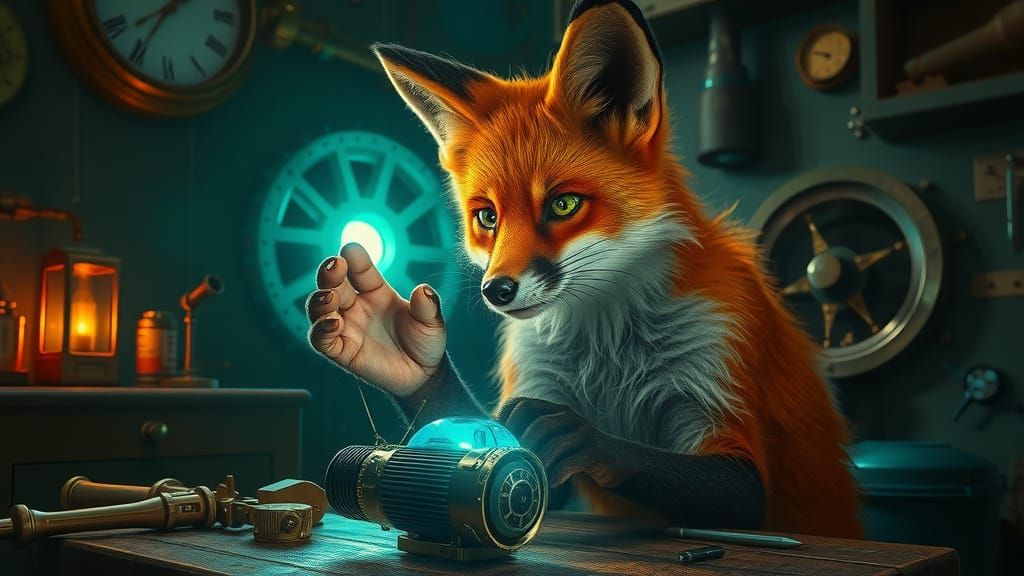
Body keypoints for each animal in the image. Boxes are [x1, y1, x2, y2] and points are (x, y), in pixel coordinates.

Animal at [307, 0, 862, 538]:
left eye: (563, 205)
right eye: (487, 217)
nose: (496, 291)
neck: (608, 343)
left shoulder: (719, 366)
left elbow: (711, 482)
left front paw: (590, 439)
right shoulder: (538, 379)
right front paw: (399, 349)